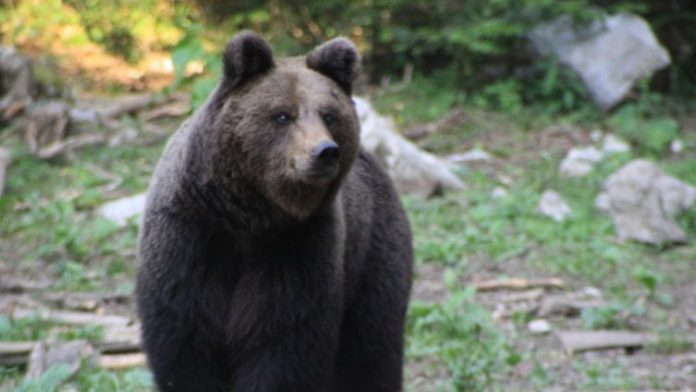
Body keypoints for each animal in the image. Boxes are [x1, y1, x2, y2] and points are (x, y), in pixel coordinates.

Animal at [136, 31, 414, 392]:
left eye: (329, 115)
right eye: (283, 115)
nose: (325, 152)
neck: (248, 215)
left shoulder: (298, 247)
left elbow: (281, 341)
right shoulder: (187, 238)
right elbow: (185, 343)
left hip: (372, 255)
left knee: (371, 349)